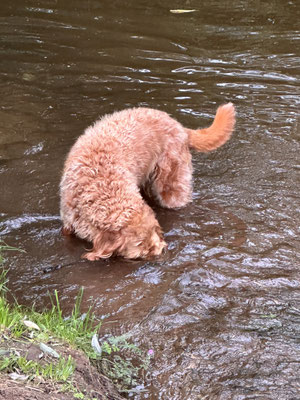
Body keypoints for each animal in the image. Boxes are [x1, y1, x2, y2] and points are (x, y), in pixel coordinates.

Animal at [59, 102, 236, 260]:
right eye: (142, 248)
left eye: (155, 233)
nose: (163, 250)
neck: (99, 182)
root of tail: (179, 127)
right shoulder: (68, 222)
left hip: (171, 185)